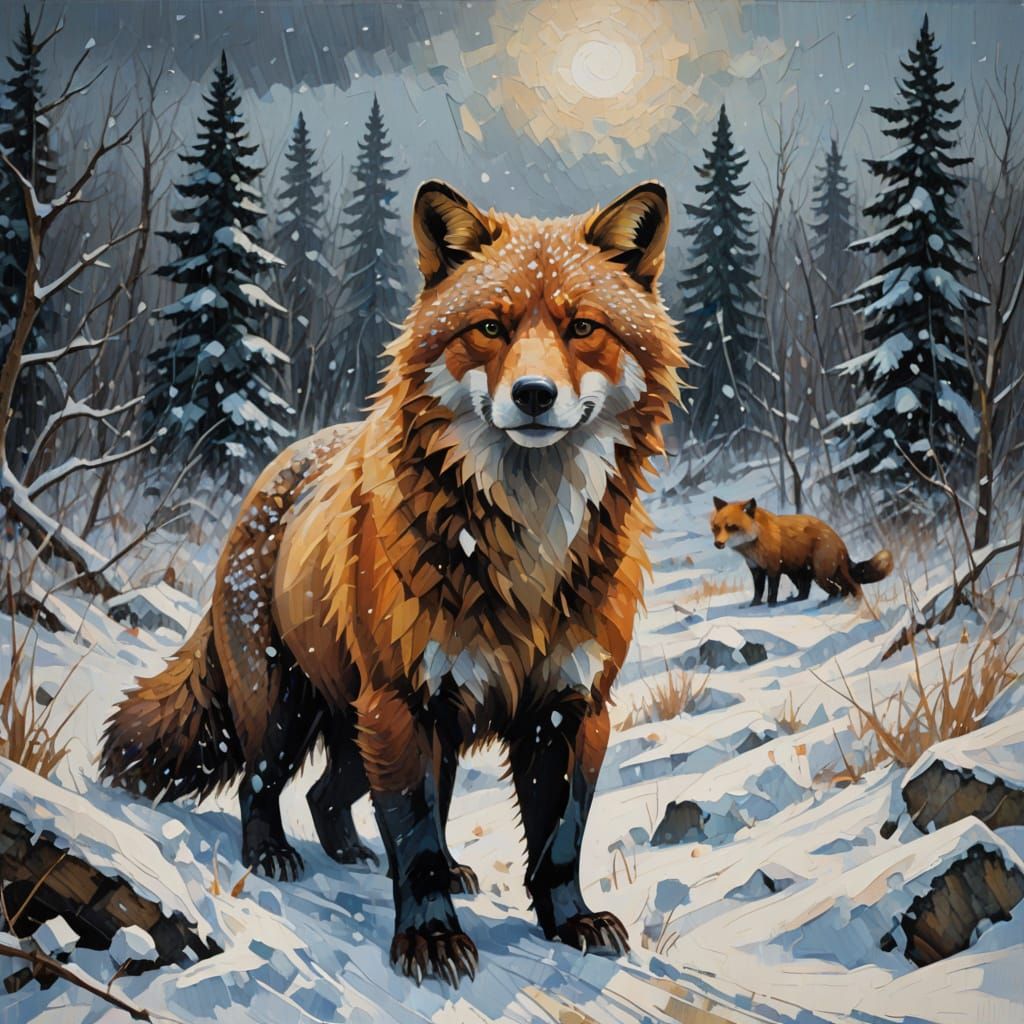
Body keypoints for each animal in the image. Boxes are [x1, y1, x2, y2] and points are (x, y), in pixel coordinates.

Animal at [101, 180, 683, 985]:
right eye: (491, 327)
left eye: (583, 328)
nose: (534, 394)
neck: (528, 552)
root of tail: (281, 467)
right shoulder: (404, 701)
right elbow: (417, 840)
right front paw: (431, 939)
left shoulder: (572, 707)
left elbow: (560, 840)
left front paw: (569, 923)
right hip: (291, 711)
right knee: (262, 783)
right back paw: (272, 854)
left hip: (376, 729)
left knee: (327, 795)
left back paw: (353, 852)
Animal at [710, 497, 893, 606]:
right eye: (716, 528)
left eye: (731, 527)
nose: (717, 544)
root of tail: (840, 542)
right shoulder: (756, 569)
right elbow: (758, 592)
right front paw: (754, 605)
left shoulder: (773, 568)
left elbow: (771, 592)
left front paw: (771, 605)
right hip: (802, 573)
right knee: (814, 592)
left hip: (820, 574)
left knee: (842, 588)